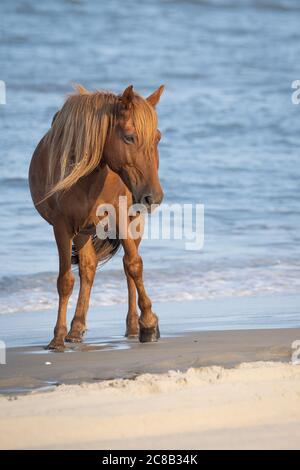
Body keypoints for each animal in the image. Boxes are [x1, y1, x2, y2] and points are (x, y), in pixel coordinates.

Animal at [28, 83, 164, 348]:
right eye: (129, 137)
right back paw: (75, 328)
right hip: (82, 231)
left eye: (158, 137)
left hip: (133, 223)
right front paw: (57, 337)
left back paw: (133, 325)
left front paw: (149, 323)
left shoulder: (120, 217)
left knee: (126, 269)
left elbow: (134, 265)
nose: (153, 197)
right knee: (87, 268)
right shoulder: (62, 227)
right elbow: (65, 281)